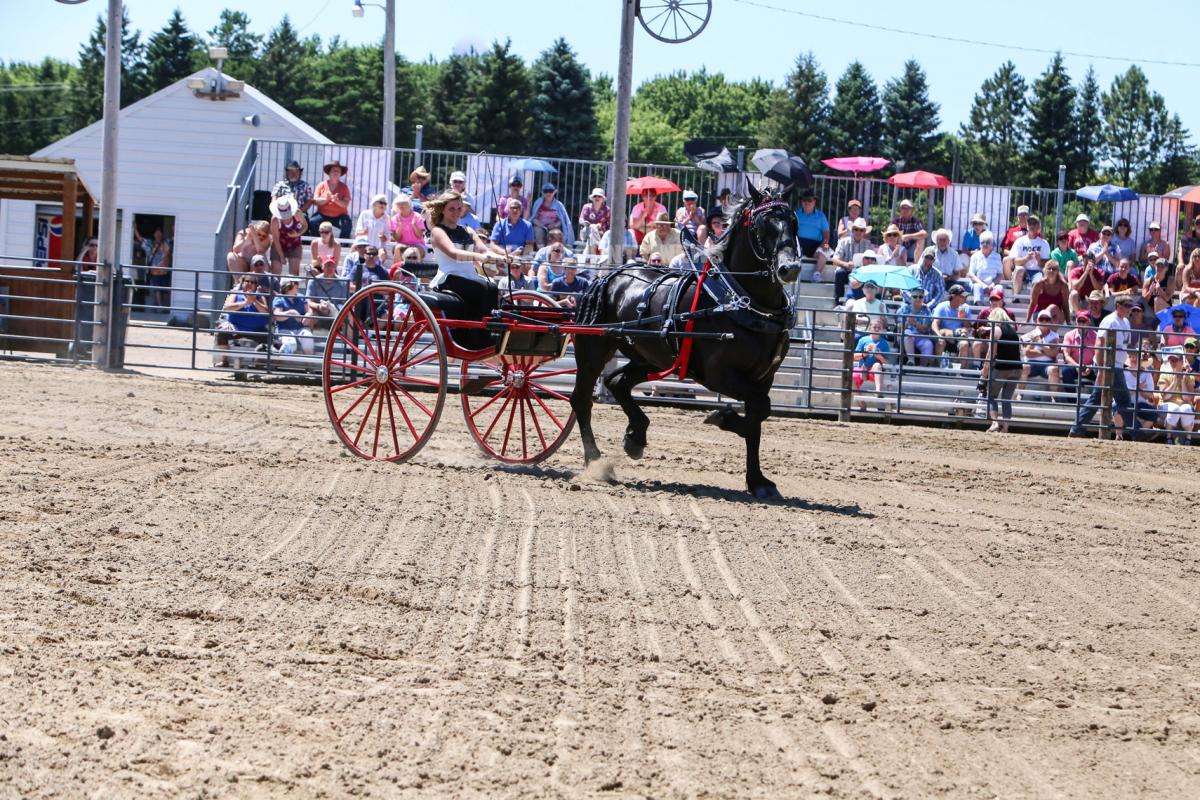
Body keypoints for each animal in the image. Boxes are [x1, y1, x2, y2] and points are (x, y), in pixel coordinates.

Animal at [570, 183, 802, 500]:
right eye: (760, 225)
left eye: (793, 221)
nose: (789, 268)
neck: (743, 303)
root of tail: (606, 278)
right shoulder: (718, 374)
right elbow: (758, 410)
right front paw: (722, 417)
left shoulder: (764, 376)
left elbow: (758, 416)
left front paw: (758, 481)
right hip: (593, 349)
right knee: (581, 399)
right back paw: (595, 461)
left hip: (650, 357)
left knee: (616, 381)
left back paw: (636, 435)